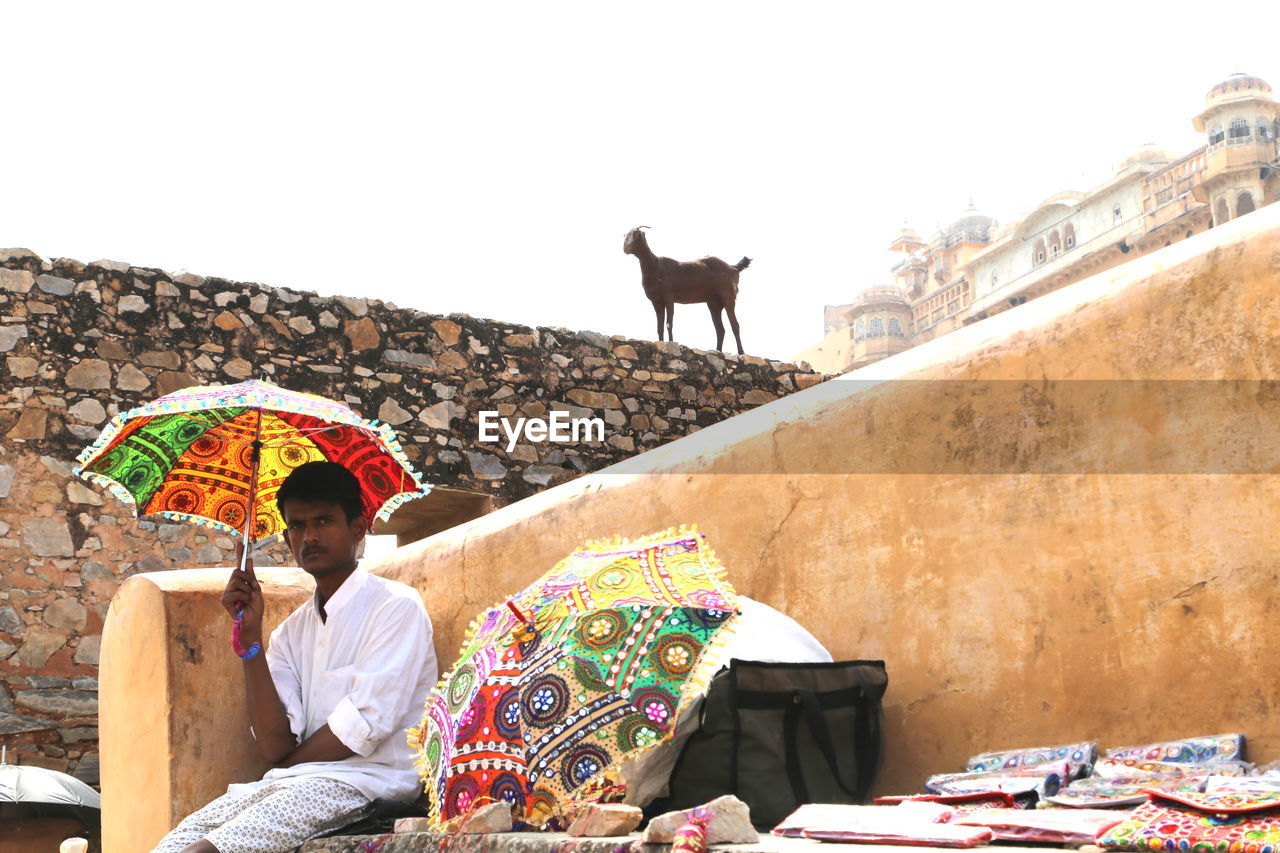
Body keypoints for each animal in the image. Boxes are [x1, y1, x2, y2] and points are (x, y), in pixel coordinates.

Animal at [622, 224, 747, 353]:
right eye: (625, 235)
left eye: (636, 234)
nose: (625, 248)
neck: (655, 267)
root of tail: (733, 268)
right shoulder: (656, 302)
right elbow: (659, 327)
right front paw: (661, 343)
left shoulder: (669, 298)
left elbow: (669, 323)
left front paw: (671, 343)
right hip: (714, 303)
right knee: (720, 329)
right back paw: (718, 351)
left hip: (728, 297)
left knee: (735, 325)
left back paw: (741, 352)